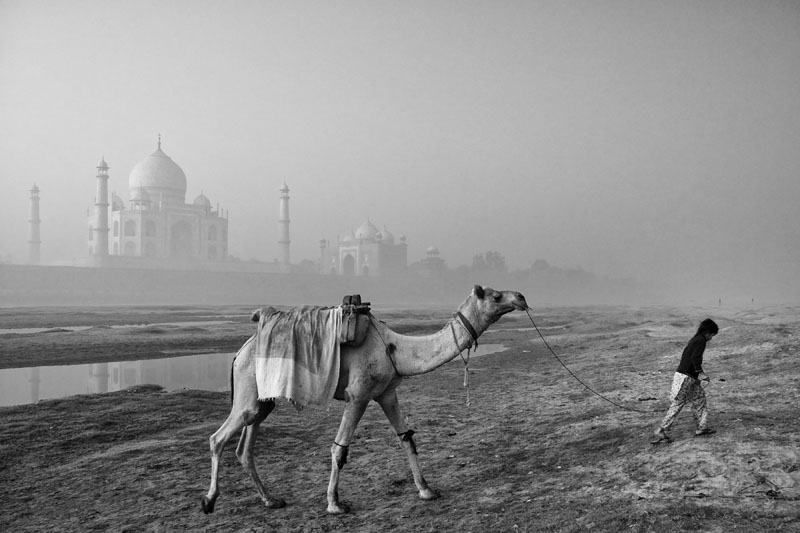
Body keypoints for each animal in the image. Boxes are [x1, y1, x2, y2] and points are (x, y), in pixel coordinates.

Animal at [202, 284, 524, 512]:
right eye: (496, 296)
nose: (520, 297)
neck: (395, 348)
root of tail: (239, 352)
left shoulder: (386, 392)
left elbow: (407, 440)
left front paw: (427, 490)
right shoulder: (358, 394)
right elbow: (339, 450)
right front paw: (334, 504)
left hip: (262, 399)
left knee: (246, 445)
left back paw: (271, 500)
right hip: (248, 387)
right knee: (219, 438)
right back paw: (209, 501)